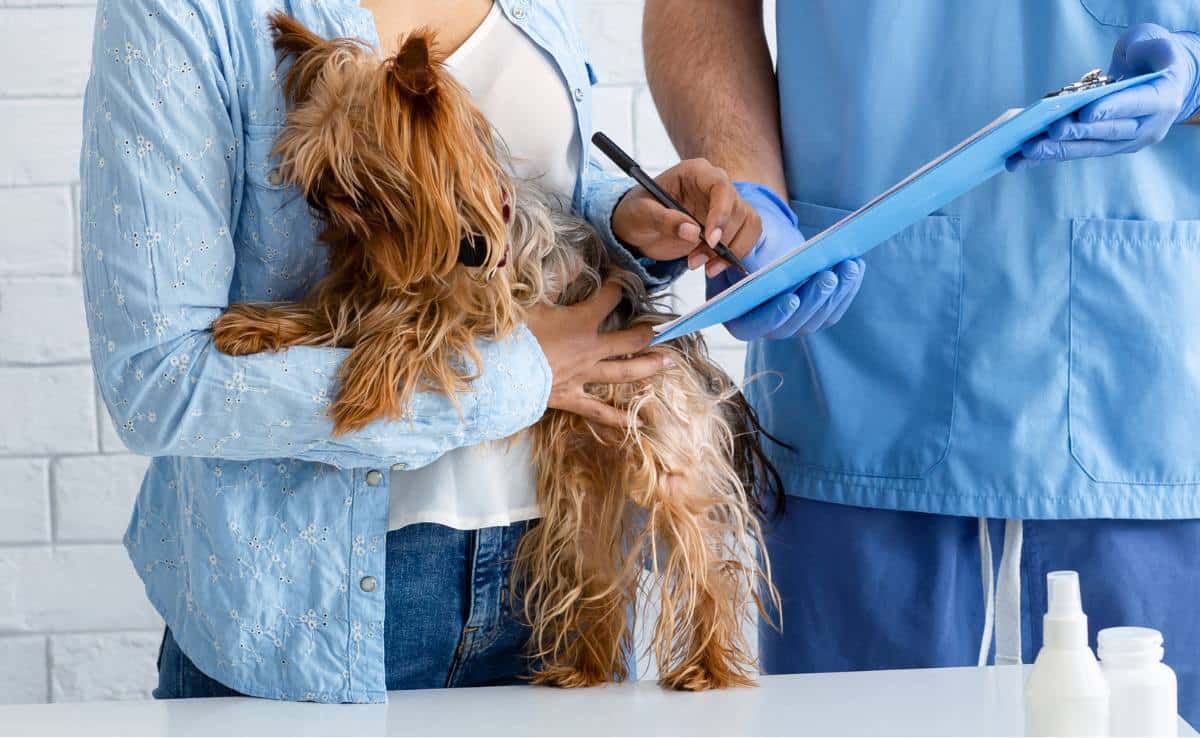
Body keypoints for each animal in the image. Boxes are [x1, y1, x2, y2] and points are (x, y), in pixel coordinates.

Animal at [212, 12, 782, 691]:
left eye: (357, 178)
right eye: (313, 175)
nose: (322, 206)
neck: (449, 237)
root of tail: (697, 363)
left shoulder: (488, 299)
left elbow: (422, 320)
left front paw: (365, 384)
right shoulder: (369, 281)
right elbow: (338, 310)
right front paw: (254, 326)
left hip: (668, 451)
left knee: (707, 563)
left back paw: (708, 666)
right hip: (581, 487)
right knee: (592, 568)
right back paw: (581, 670)